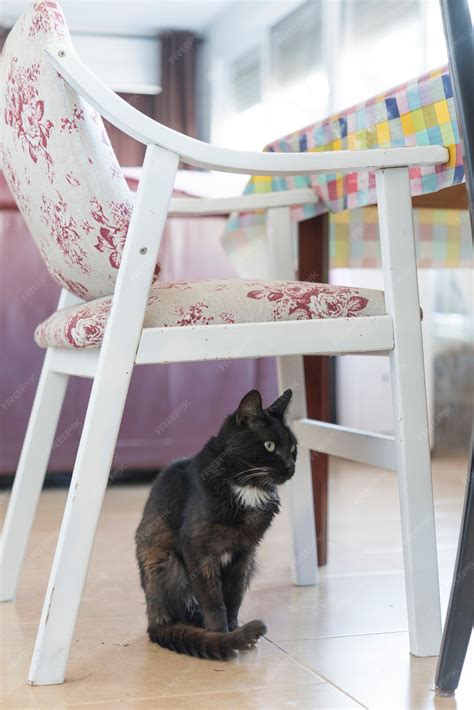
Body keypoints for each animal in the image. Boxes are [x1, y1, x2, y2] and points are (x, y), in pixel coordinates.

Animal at [134, 390, 296, 660]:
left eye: (293, 448)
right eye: (270, 446)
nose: (291, 467)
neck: (247, 488)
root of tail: (152, 619)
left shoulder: (244, 553)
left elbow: (233, 596)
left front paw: (233, 630)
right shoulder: (198, 550)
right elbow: (213, 600)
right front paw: (221, 636)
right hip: (167, 561)